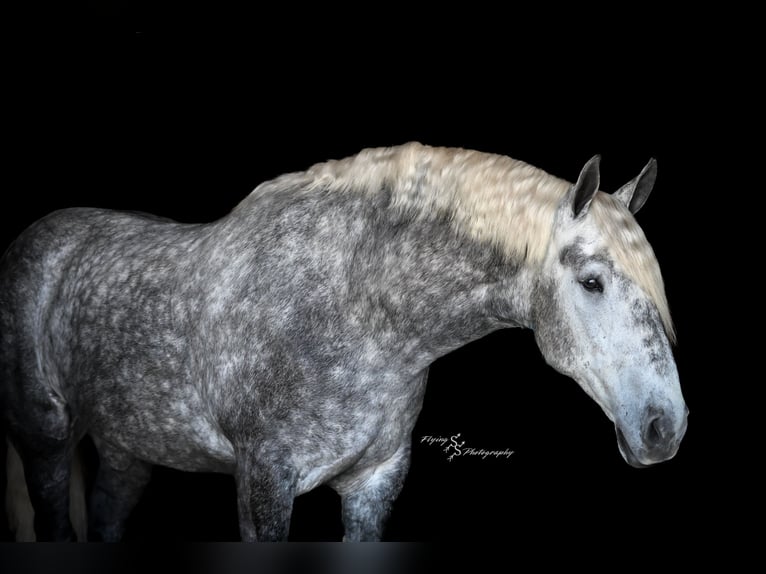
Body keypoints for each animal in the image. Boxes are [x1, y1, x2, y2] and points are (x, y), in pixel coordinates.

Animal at [0, 143, 688, 541]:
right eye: (592, 281)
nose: (666, 428)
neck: (356, 309)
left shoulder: (375, 483)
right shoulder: (263, 481)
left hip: (129, 448)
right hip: (44, 440)